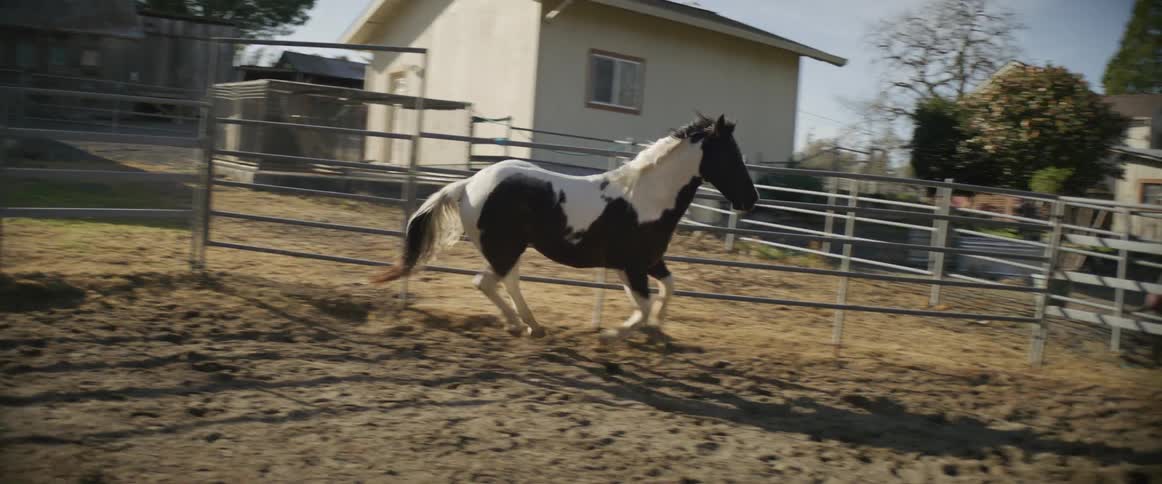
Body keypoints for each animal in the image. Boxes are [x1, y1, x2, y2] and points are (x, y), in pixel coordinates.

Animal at [371, 114, 758, 344]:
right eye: (730, 156)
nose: (751, 199)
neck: (647, 198)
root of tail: (467, 184)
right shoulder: (632, 267)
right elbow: (644, 305)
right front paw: (613, 334)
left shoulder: (646, 263)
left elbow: (669, 288)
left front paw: (658, 331)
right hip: (507, 248)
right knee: (497, 282)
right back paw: (529, 325)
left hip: (504, 249)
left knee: (489, 282)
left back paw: (523, 324)